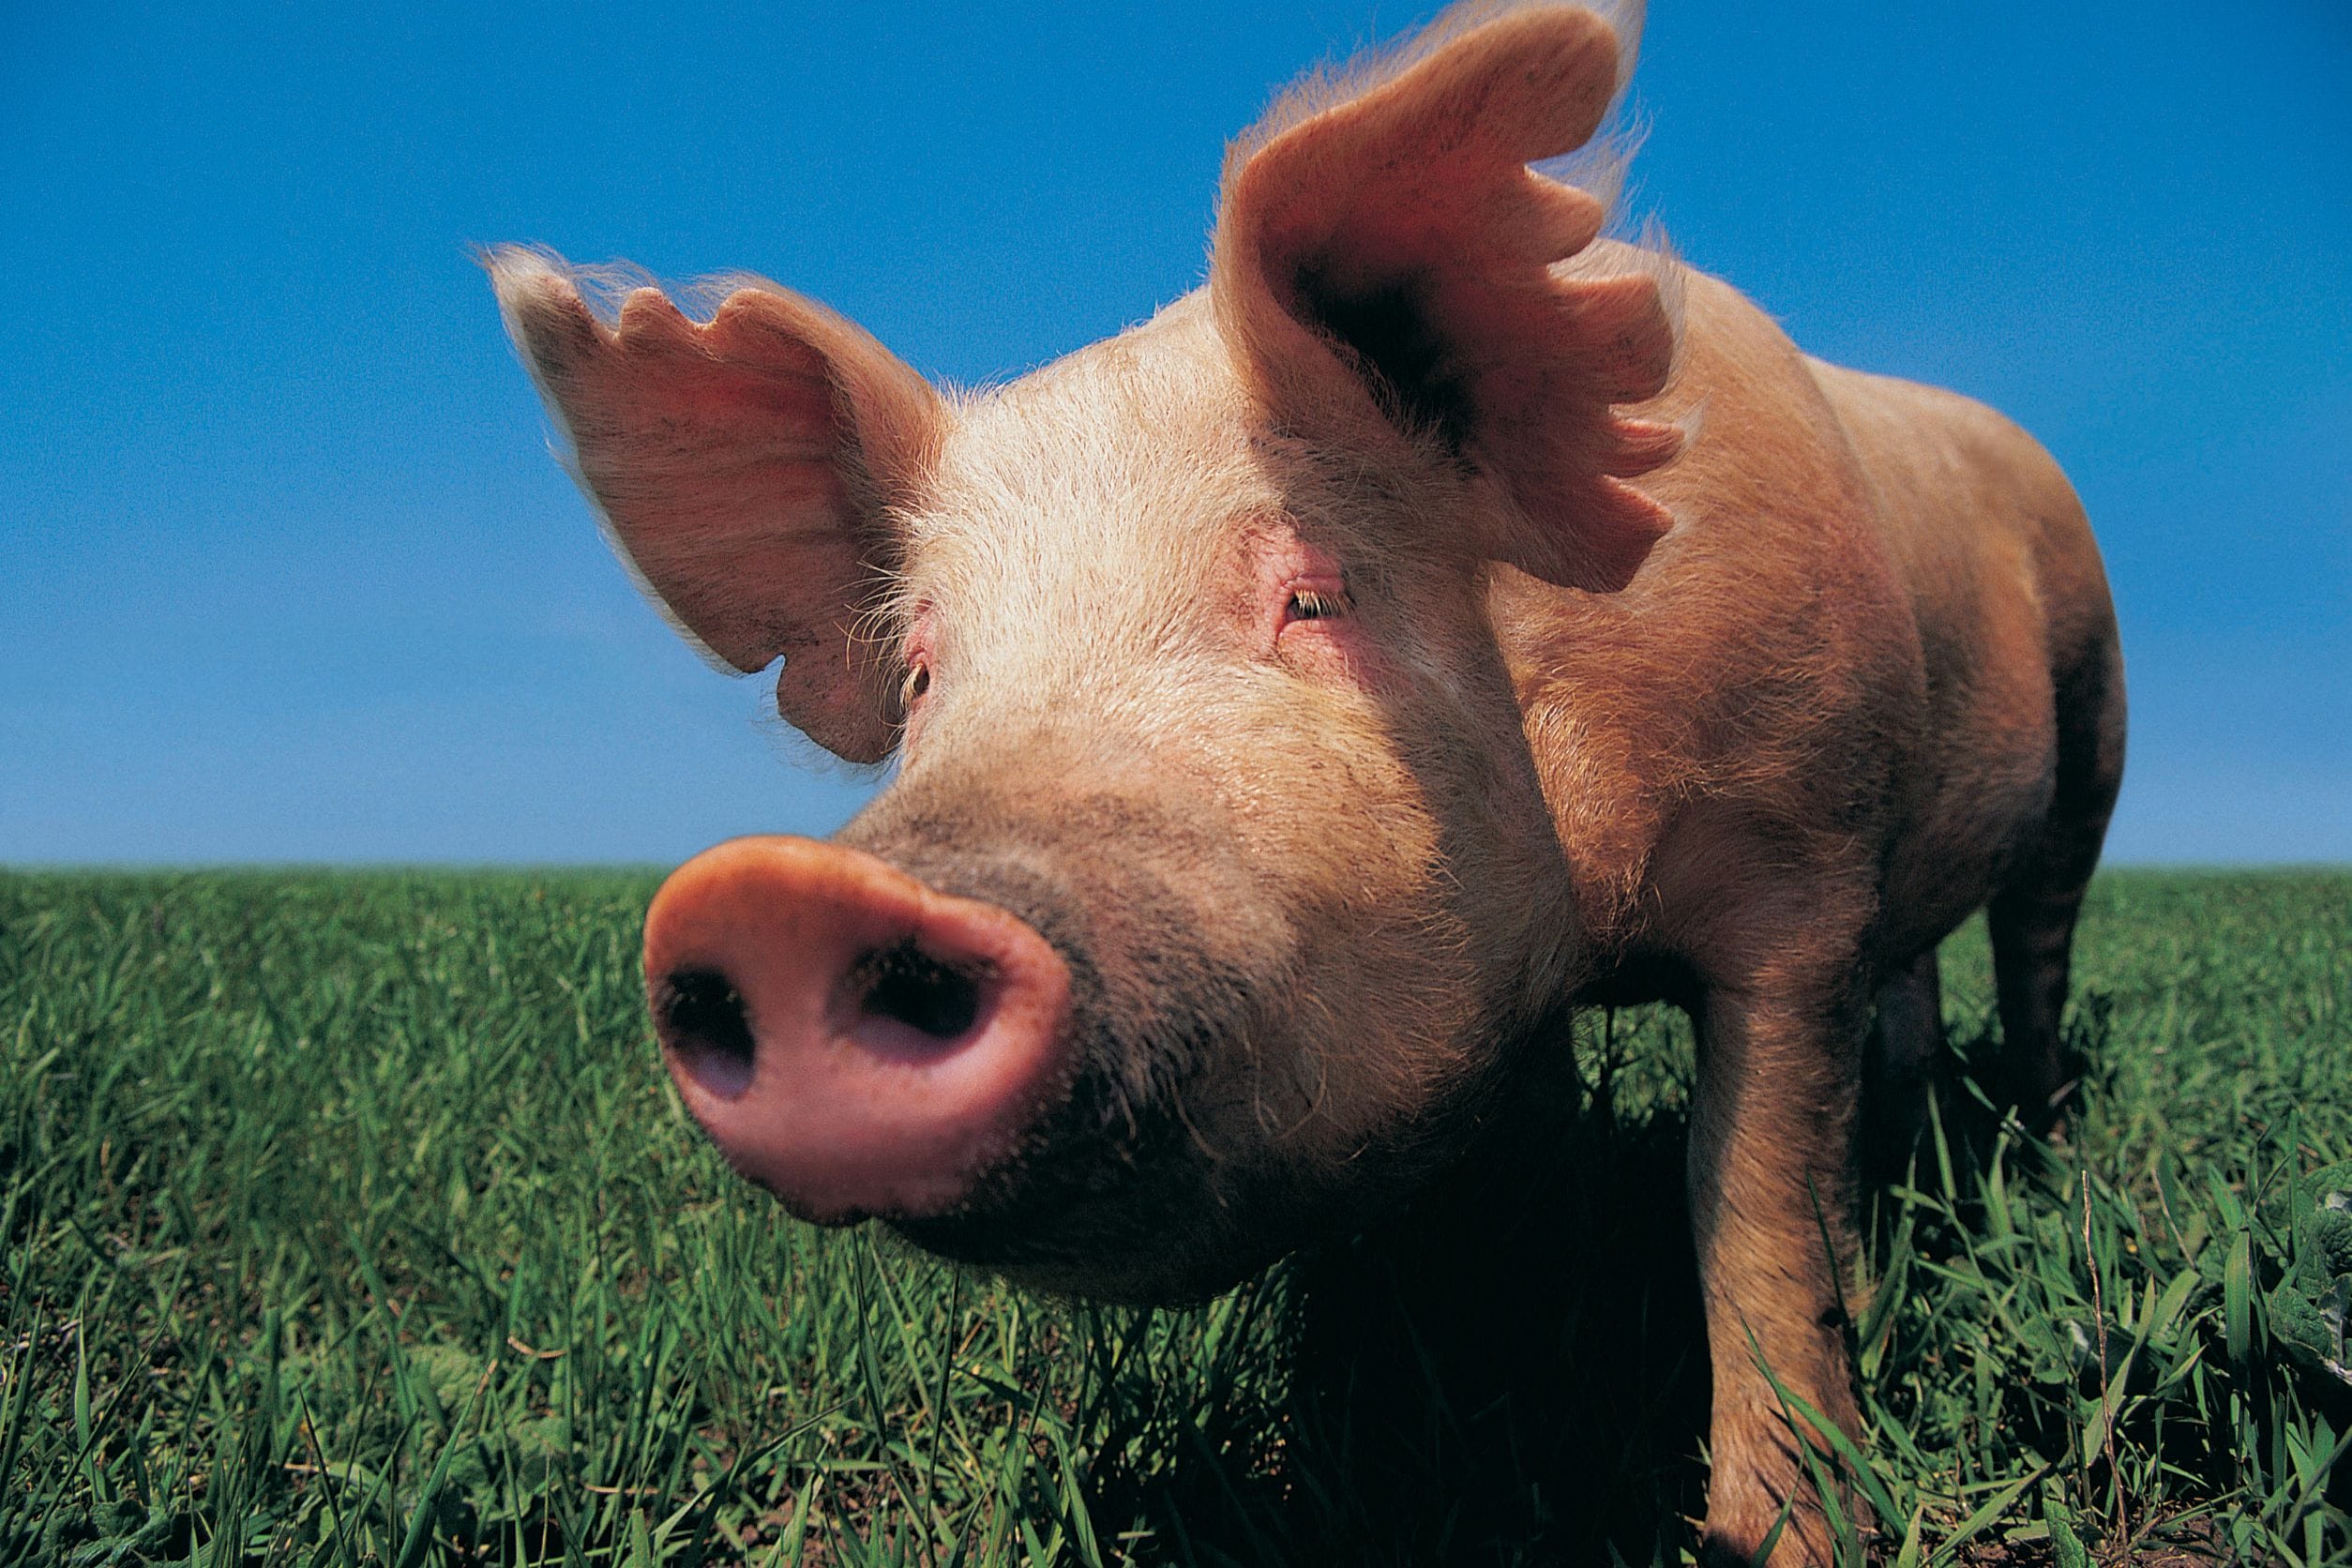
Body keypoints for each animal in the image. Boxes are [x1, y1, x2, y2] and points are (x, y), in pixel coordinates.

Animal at [487, 1, 2125, 1558]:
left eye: (1315, 596)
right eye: (926, 674)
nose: (779, 895)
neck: (1597, 933)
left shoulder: (1805, 863)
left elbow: (1763, 1228)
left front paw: (1781, 1534)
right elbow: (1526, 1184)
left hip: (2095, 711)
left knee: (2038, 942)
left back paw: (2045, 1138)